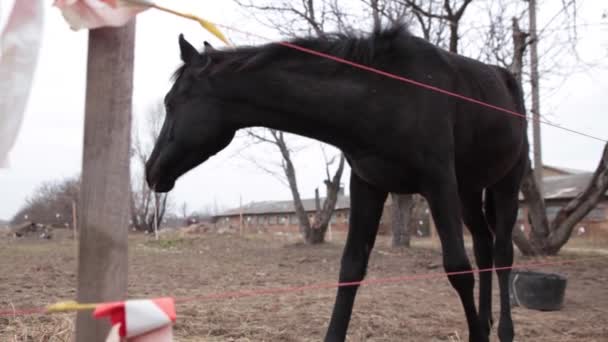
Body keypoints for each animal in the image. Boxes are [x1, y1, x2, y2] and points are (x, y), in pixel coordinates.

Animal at [146, 27, 528, 342]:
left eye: (171, 102)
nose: (151, 171)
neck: (386, 96)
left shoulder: (439, 183)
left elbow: (458, 269)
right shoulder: (367, 185)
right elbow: (351, 267)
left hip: (505, 185)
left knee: (502, 253)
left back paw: (503, 330)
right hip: (469, 191)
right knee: (484, 246)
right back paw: (486, 321)